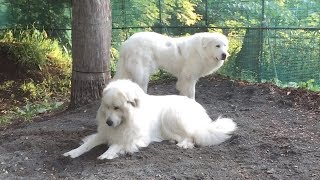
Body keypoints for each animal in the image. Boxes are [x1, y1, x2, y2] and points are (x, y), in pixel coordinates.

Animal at [63, 79, 238, 160]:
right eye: (107, 106)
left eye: (117, 108)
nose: (109, 122)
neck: (126, 120)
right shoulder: (105, 133)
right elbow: (87, 144)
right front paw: (72, 152)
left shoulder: (135, 137)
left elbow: (118, 144)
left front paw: (107, 154)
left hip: (171, 115)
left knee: (191, 135)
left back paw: (183, 144)